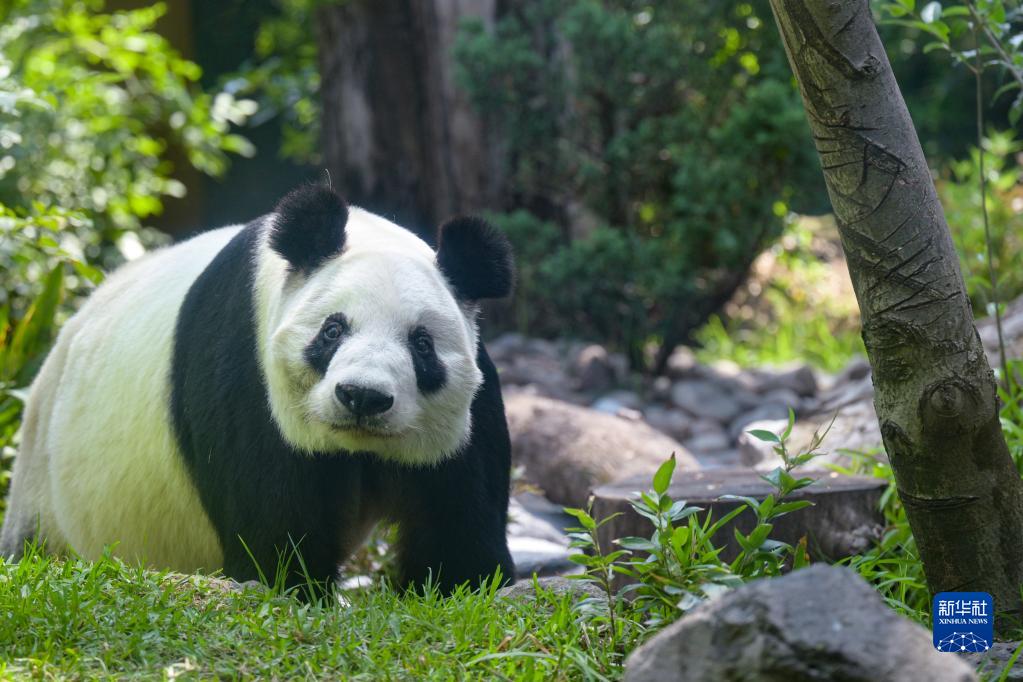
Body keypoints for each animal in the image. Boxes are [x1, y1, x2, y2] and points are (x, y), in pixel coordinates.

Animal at [0, 183, 511, 593]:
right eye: (332, 331)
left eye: (421, 344)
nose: (362, 397)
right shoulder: (249, 376)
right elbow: (275, 529)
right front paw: (295, 584)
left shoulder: (464, 422)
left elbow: (457, 527)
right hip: (43, 483)